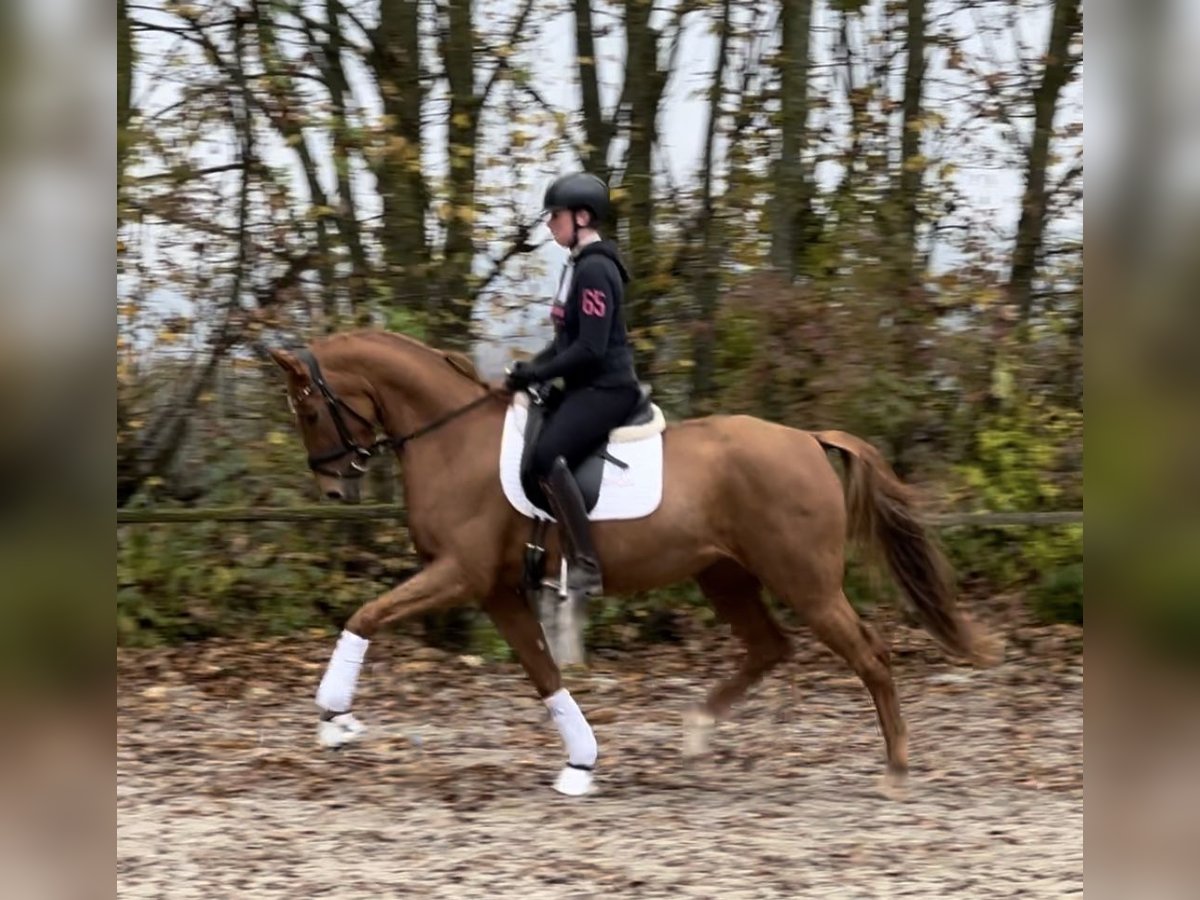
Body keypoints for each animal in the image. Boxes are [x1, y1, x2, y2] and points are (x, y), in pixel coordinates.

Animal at [267, 331, 998, 796]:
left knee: (869, 654)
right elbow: (542, 673)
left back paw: (896, 770)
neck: (453, 437)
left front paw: (335, 719)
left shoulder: (462, 574)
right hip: (724, 574)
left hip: (805, 580)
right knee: (770, 647)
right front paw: (581, 765)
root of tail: (808, 438)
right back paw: (699, 732)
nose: (333, 489)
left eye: (308, 409)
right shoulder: (497, 589)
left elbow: (367, 615)